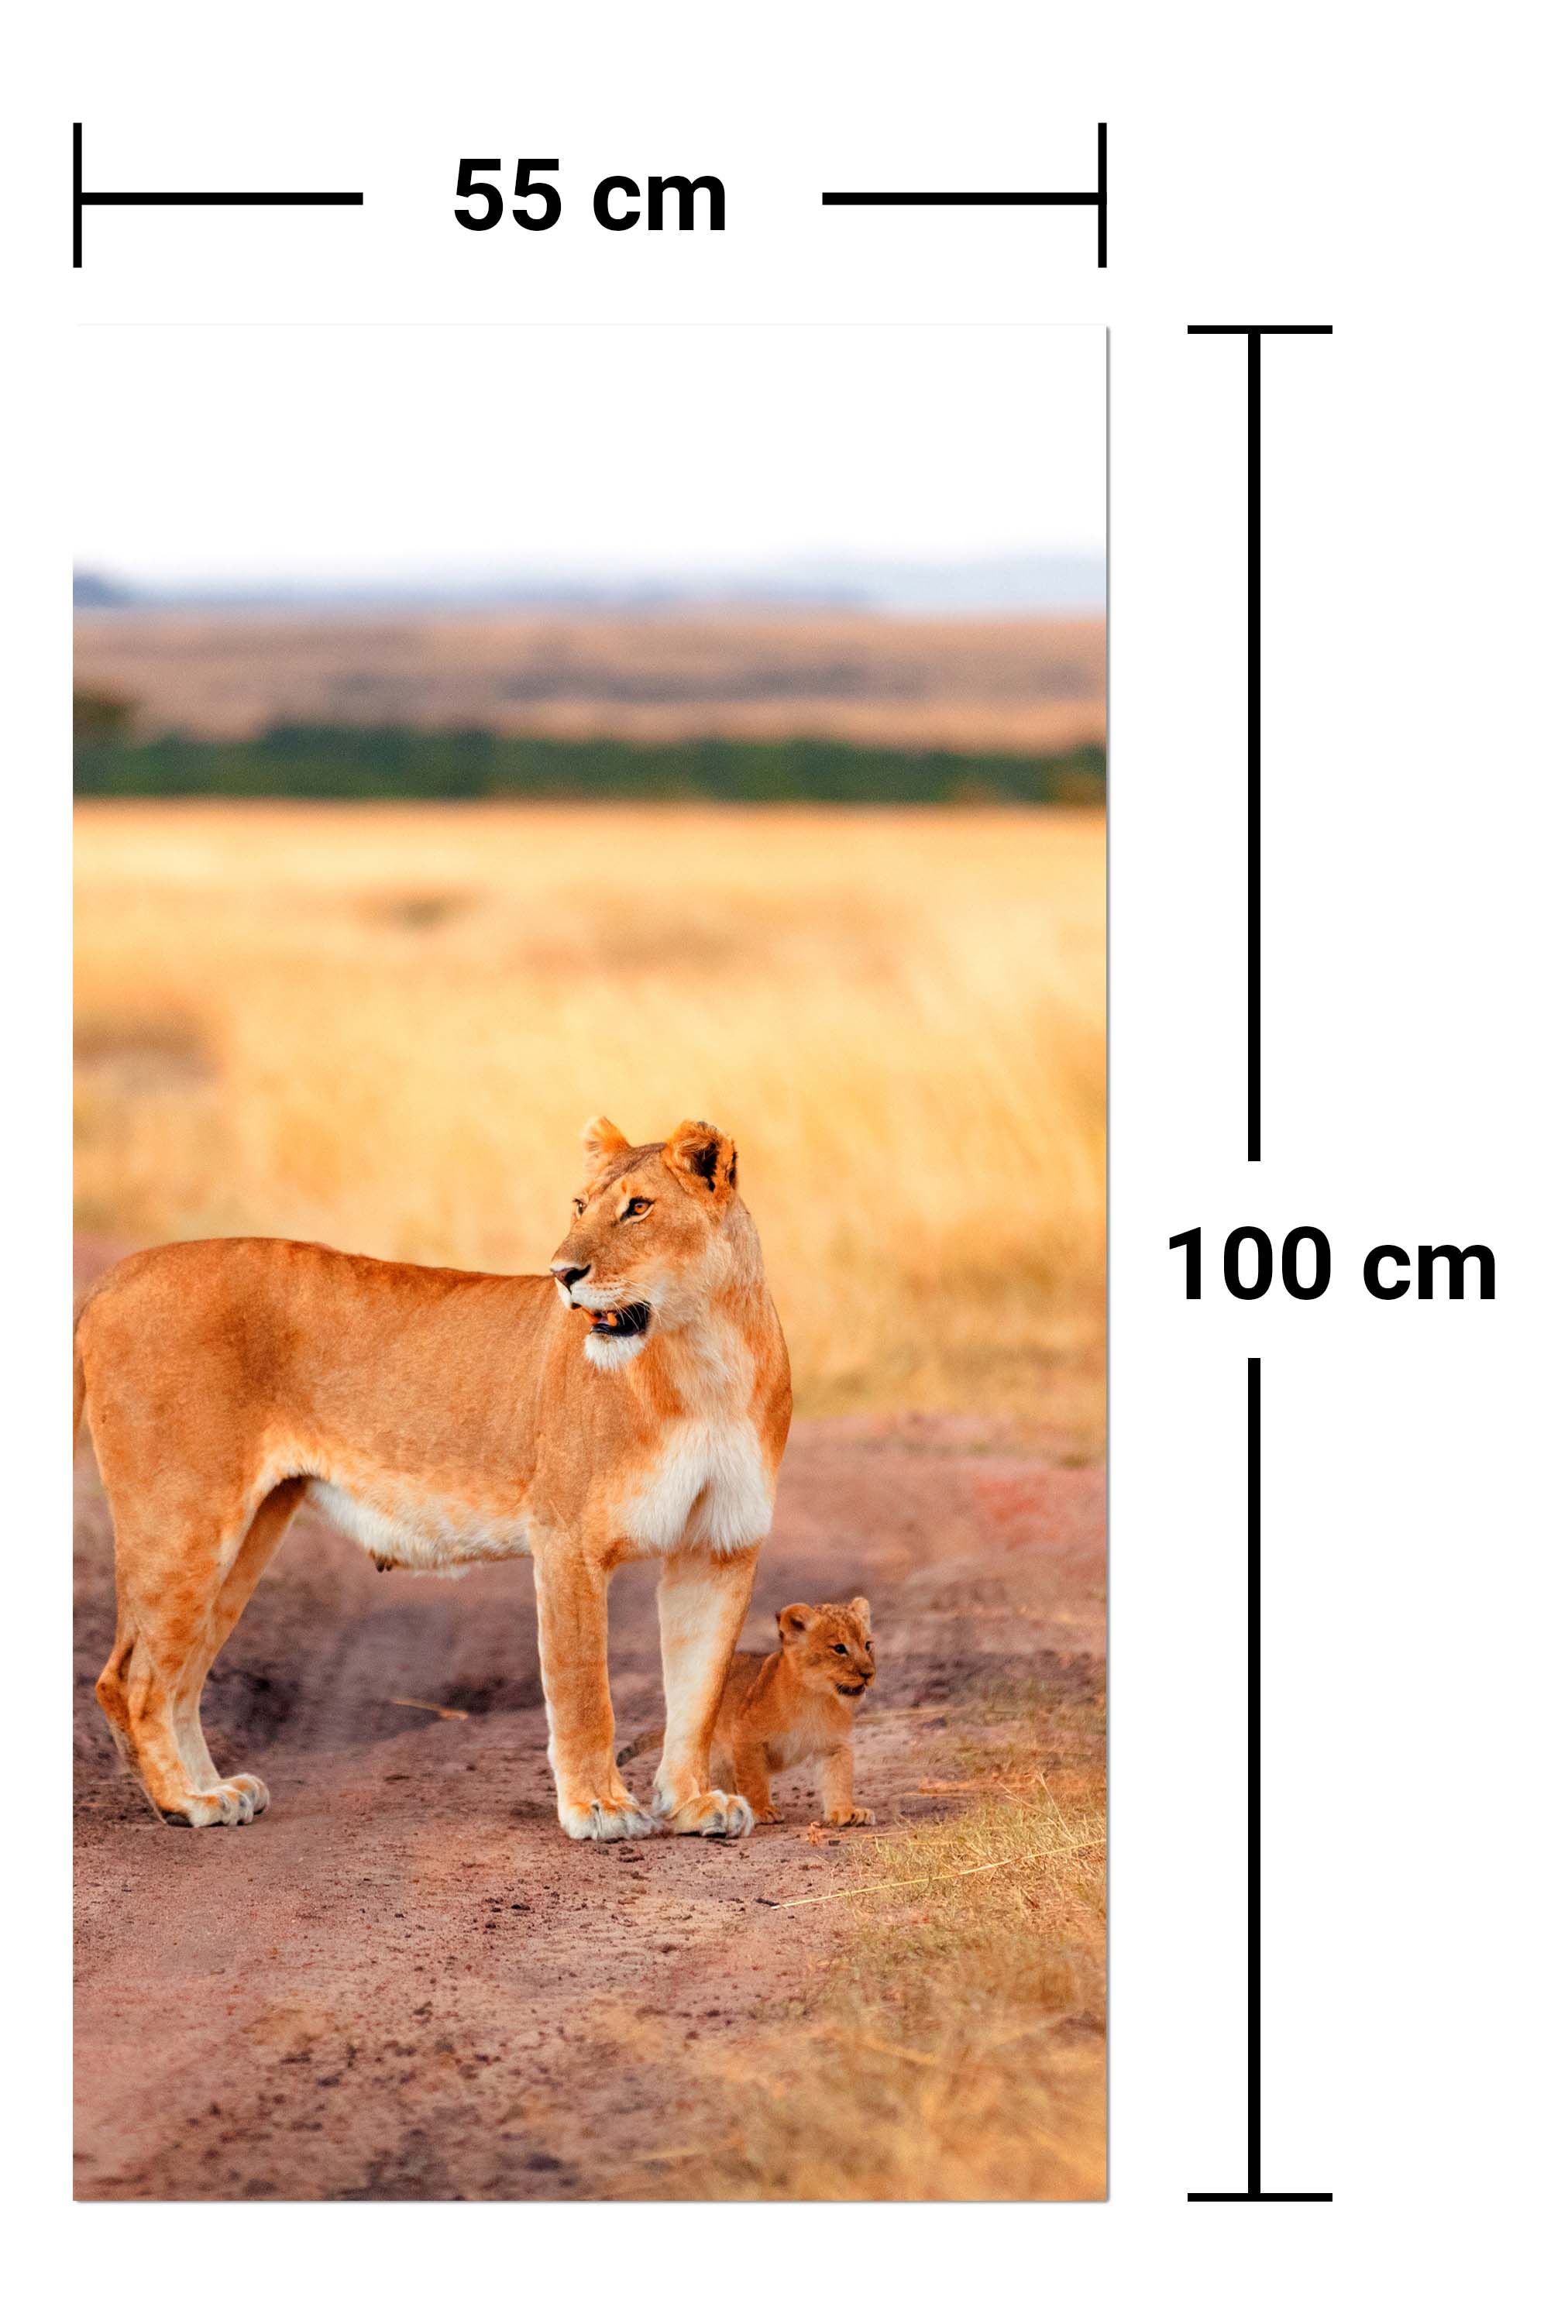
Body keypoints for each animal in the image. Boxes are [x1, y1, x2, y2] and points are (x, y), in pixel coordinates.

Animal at [73, 1116, 791, 1843]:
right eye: (580, 1206)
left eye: (639, 1208)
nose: (562, 1274)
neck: (704, 1357)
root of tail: (113, 1279)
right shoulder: (569, 1539)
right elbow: (584, 1687)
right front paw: (600, 1808)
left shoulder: (719, 1546)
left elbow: (699, 1691)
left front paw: (694, 1803)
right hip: (184, 1521)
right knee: (131, 1678)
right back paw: (186, 1801)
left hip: (247, 1535)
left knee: (178, 1675)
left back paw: (212, 1790)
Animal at [619, 1597, 875, 1827]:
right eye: (839, 1648)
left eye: (867, 1645)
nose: (869, 1673)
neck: (815, 1698)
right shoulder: (745, 1736)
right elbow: (753, 1778)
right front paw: (762, 1810)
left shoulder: (834, 1745)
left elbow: (838, 1779)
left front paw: (846, 1813)